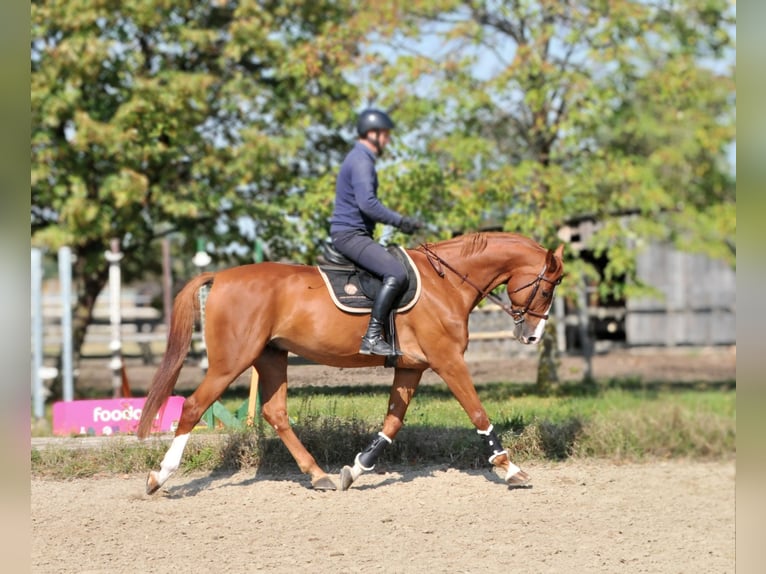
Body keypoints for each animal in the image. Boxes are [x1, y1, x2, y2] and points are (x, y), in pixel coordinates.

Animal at [138, 234, 568, 496]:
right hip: (232, 360)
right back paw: (160, 476)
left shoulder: (411, 367)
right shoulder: (448, 361)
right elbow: (478, 412)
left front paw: (356, 469)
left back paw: (319, 475)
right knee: (194, 406)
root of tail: (222, 276)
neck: (446, 282)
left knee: (276, 413)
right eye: (547, 289)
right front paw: (509, 469)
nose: (531, 337)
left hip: (271, 356)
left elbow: (392, 423)